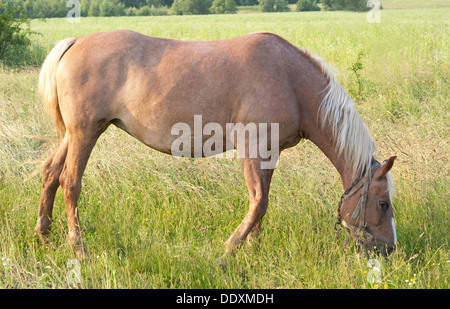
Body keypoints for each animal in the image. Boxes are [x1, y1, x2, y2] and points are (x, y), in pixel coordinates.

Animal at [34, 29, 398, 260]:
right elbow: (258, 202)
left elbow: (263, 202)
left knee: (51, 173)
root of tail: (75, 41)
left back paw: (43, 234)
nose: (389, 250)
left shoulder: (269, 152)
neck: (290, 79)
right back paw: (79, 249)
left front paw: (253, 251)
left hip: (74, 134)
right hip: (86, 132)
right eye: (383, 204)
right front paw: (228, 252)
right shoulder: (252, 148)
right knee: (71, 182)